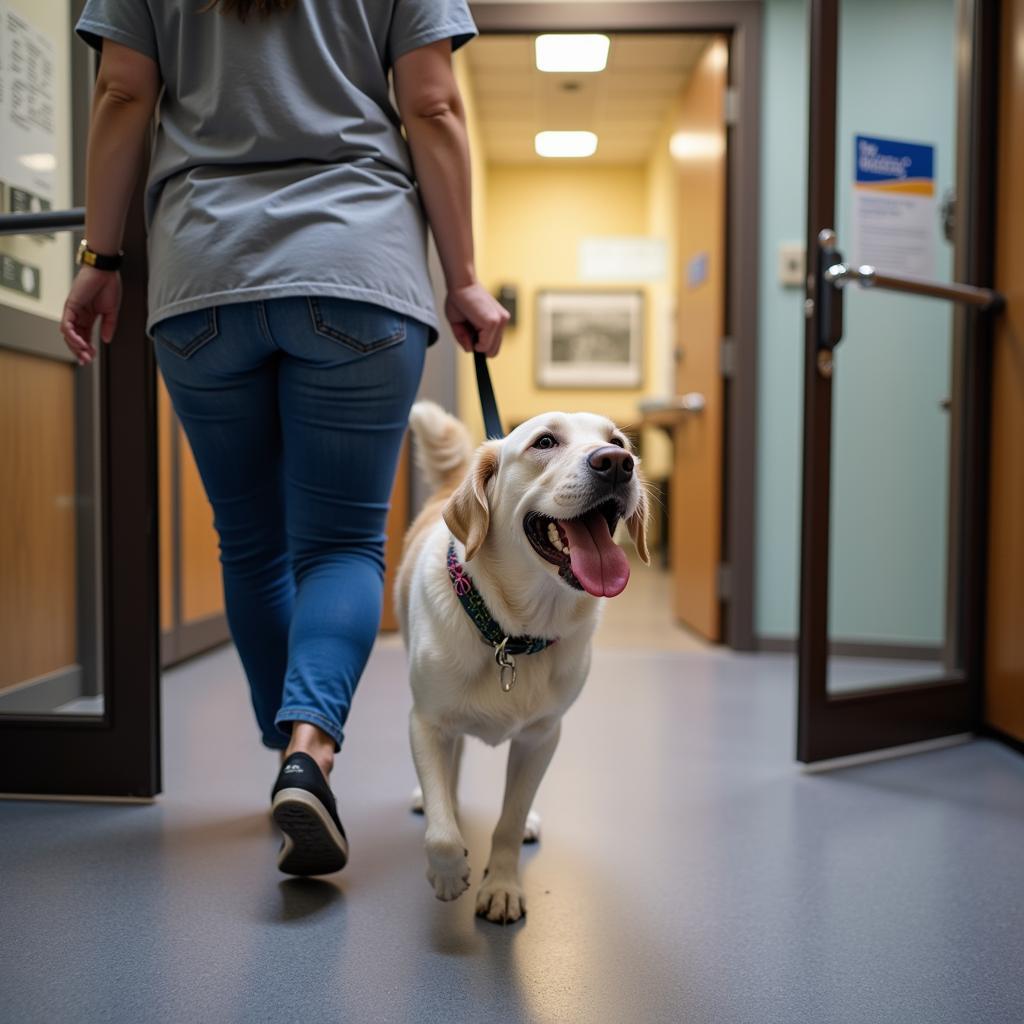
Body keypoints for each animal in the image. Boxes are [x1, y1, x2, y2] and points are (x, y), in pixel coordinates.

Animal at [393, 403, 647, 925]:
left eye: (618, 442)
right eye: (544, 442)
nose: (616, 463)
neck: (512, 632)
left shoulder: (541, 737)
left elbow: (507, 822)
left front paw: (502, 886)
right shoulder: (426, 722)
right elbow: (442, 832)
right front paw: (449, 871)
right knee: (449, 772)